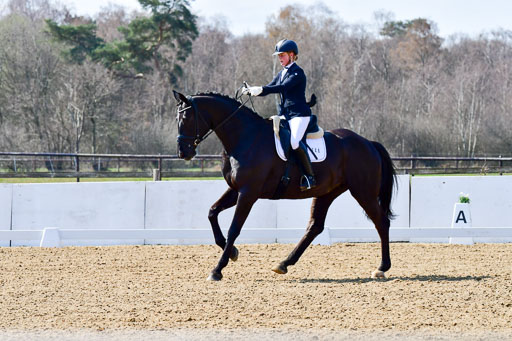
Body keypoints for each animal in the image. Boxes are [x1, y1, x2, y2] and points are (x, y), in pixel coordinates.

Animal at [172, 89, 396, 280]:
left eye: (187, 118)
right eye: (177, 119)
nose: (184, 152)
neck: (245, 137)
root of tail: (368, 143)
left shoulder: (248, 192)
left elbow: (234, 229)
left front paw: (217, 269)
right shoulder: (236, 189)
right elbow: (212, 212)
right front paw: (233, 252)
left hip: (363, 192)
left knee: (381, 222)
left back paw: (382, 267)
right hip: (327, 192)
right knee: (315, 226)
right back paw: (284, 263)